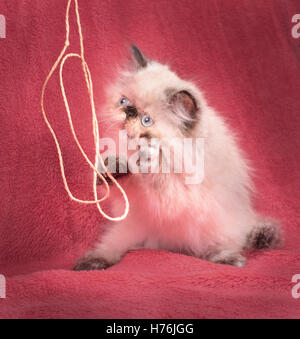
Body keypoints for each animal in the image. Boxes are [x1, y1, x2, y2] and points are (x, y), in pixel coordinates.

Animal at [73, 45, 282, 270]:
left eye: (146, 120)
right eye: (124, 101)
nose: (129, 112)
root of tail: (163, 245)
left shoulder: (175, 195)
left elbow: (156, 181)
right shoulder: (133, 197)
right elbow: (119, 177)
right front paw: (115, 167)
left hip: (218, 230)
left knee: (225, 245)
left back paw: (229, 259)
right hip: (127, 232)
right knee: (110, 248)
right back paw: (91, 263)